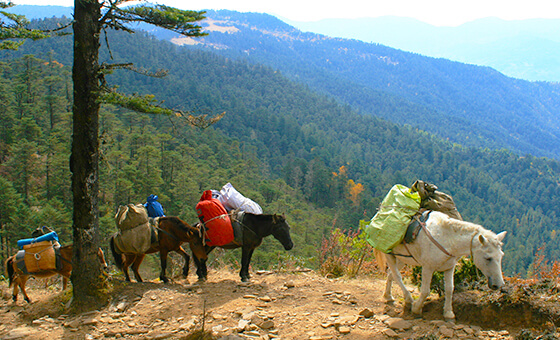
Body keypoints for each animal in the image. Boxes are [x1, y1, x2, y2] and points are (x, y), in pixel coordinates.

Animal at [378, 211, 506, 320]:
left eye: (502, 255)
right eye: (488, 258)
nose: (498, 285)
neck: (447, 239)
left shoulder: (449, 268)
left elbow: (449, 289)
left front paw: (448, 313)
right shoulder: (427, 268)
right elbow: (425, 291)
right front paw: (417, 309)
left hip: (402, 258)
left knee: (391, 274)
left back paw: (388, 296)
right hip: (389, 254)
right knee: (397, 276)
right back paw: (409, 299)